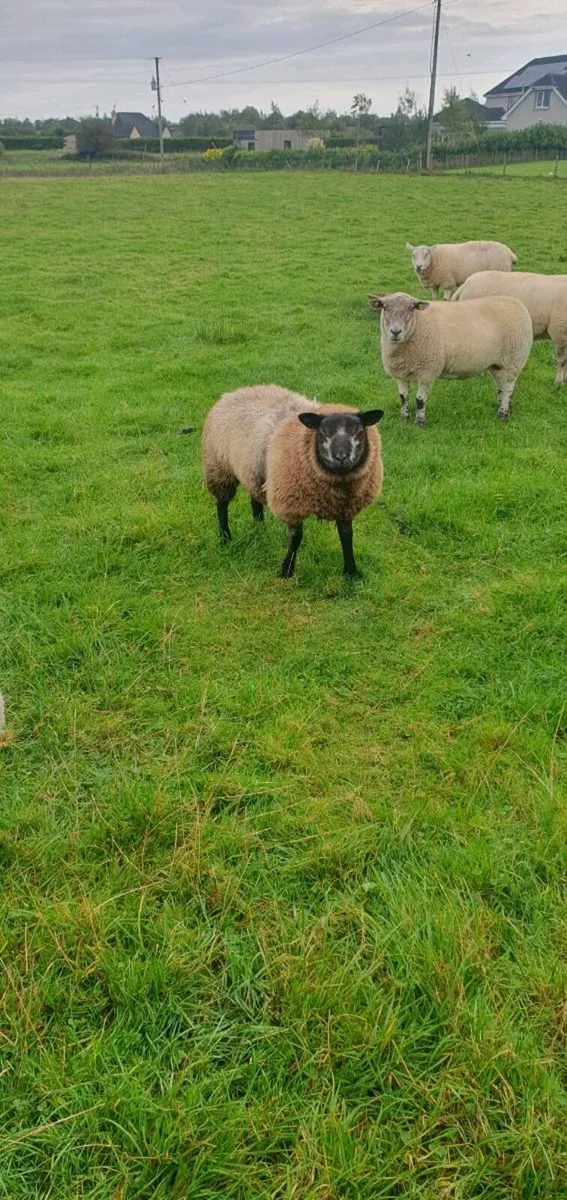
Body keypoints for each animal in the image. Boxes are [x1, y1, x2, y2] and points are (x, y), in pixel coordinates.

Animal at [201, 385, 384, 578]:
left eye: (359, 431)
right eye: (322, 432)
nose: (341, 457)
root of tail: (235, 391)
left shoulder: (346, 507)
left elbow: (347, 535)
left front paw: (351, 572)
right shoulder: (291, 505)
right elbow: (296, 538)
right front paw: (286, 571)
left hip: (254, 470)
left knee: (255, 499)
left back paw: (260, 528)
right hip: (218, 467)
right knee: (222, 505)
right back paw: (225, 537)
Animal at [367, 291, 532, 425]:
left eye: (411, 308)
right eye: (384, 307)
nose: (395, 332)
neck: (418, 324)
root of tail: (519, 304)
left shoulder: (428, 370)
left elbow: (420, 400)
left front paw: (419, 423)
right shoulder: (400, 373)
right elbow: (403, 397)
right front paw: (404, 418)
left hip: (514, 360)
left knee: (508, 387)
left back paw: (502, 414)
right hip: (497, 364)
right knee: (501, 387)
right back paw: (503, 406)